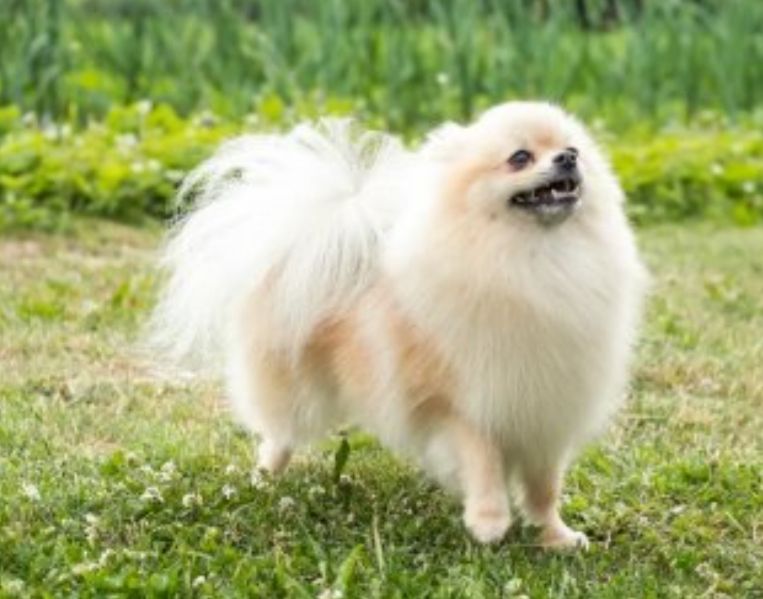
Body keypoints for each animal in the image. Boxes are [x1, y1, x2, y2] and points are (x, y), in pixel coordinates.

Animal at [151, 101, 647, 548]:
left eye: (572, 148)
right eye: (520, 157)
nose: (568, 159)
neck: (537, 262)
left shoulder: (546, 412)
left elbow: (544, 490)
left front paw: (555, 536)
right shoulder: (465, 402)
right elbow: (483, 461)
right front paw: (489, 521)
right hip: (295, 386)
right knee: (278, 434)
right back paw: (263, 475)